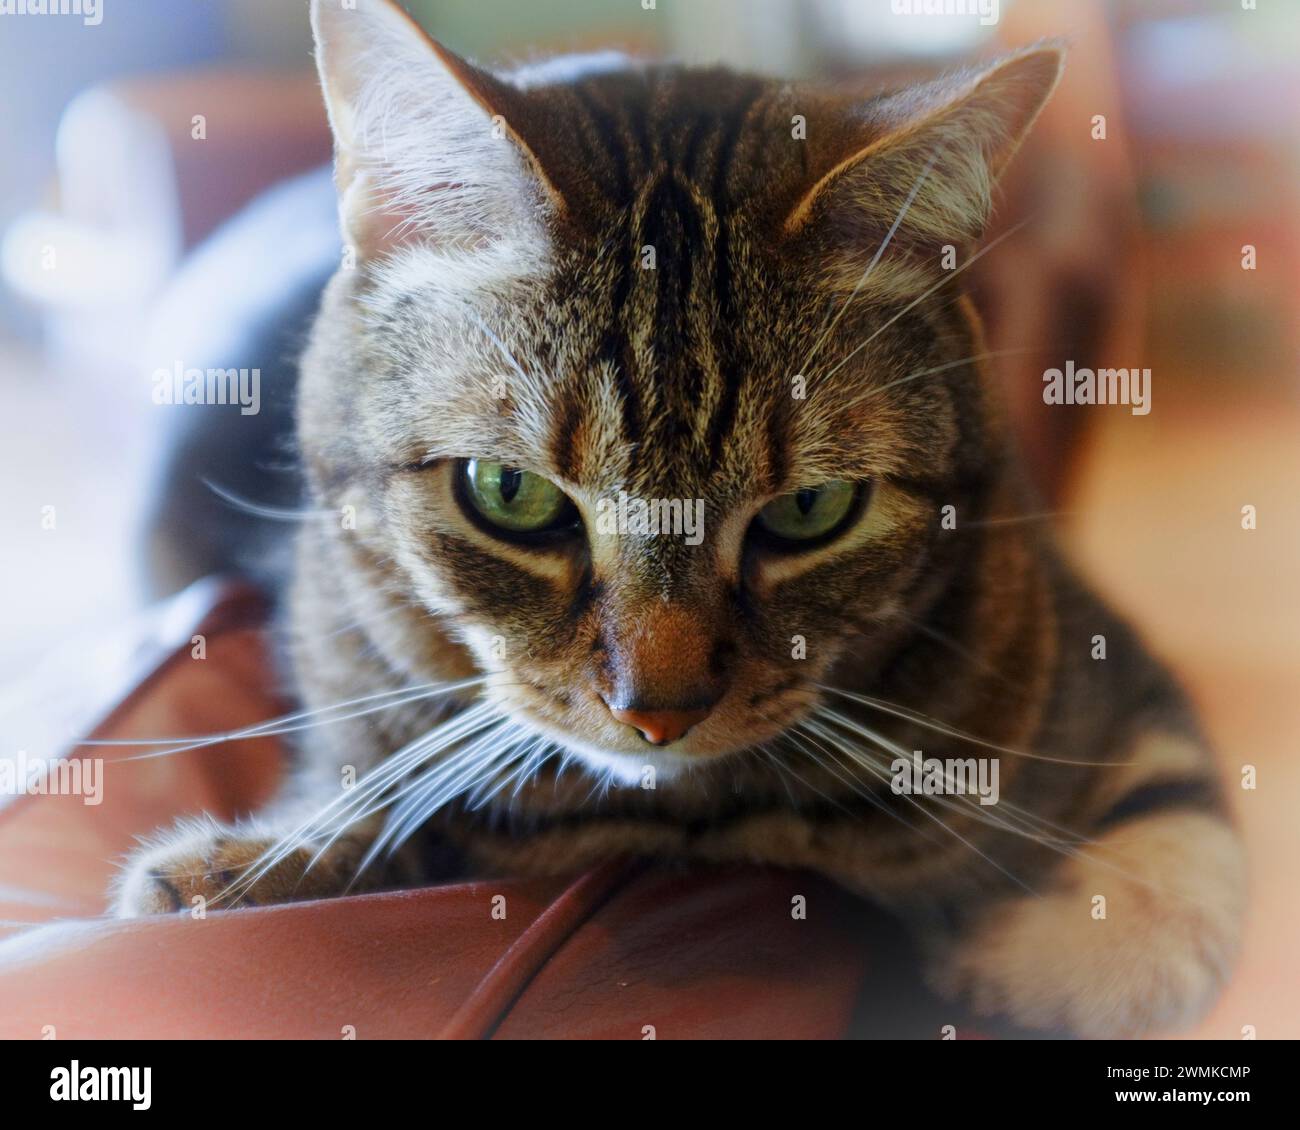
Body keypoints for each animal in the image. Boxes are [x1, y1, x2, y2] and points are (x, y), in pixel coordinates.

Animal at [116, 2, 1242, 1040]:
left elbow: (1167, 879)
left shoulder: (1103, 668)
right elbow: (370, 806)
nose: (656, 710)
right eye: (509, 492)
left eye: (809, 509)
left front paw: (1010, 954)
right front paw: (244, 868)